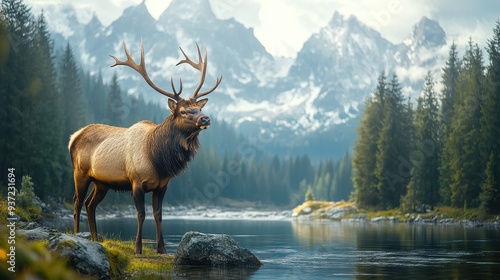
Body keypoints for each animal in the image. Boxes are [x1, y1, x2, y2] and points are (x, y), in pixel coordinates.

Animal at [68, 41, 221, 254]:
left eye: (199, 108)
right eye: (183, 111)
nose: (205, 119)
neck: (158, 159)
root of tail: (73, 137)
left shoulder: (162, 185)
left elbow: (158, 214)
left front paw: (162, 248)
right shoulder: (136, 181)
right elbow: (141, 214)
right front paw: (137, 248)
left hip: (101, 181)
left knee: (90, 205)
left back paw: (95, 237)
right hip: (80, 172)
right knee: (77, 202)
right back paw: (76, 235)